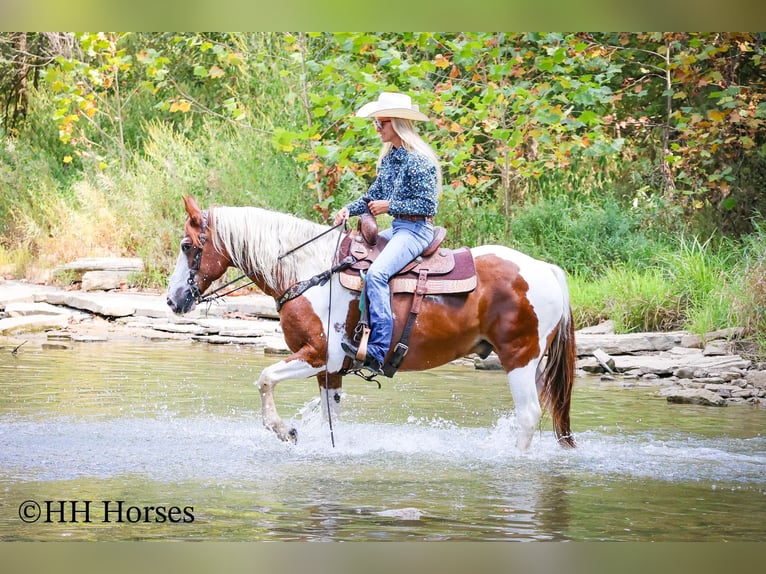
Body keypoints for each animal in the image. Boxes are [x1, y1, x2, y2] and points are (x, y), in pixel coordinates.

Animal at [166, 196, 577, 450]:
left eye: (187, 246)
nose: (173, 299)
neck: (309, 272)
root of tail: (546, 270)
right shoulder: (330, 370)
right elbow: (329, 416)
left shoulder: (319, 354)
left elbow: (266, 379)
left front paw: (285, 431)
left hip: (519, 356)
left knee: (528, 415)